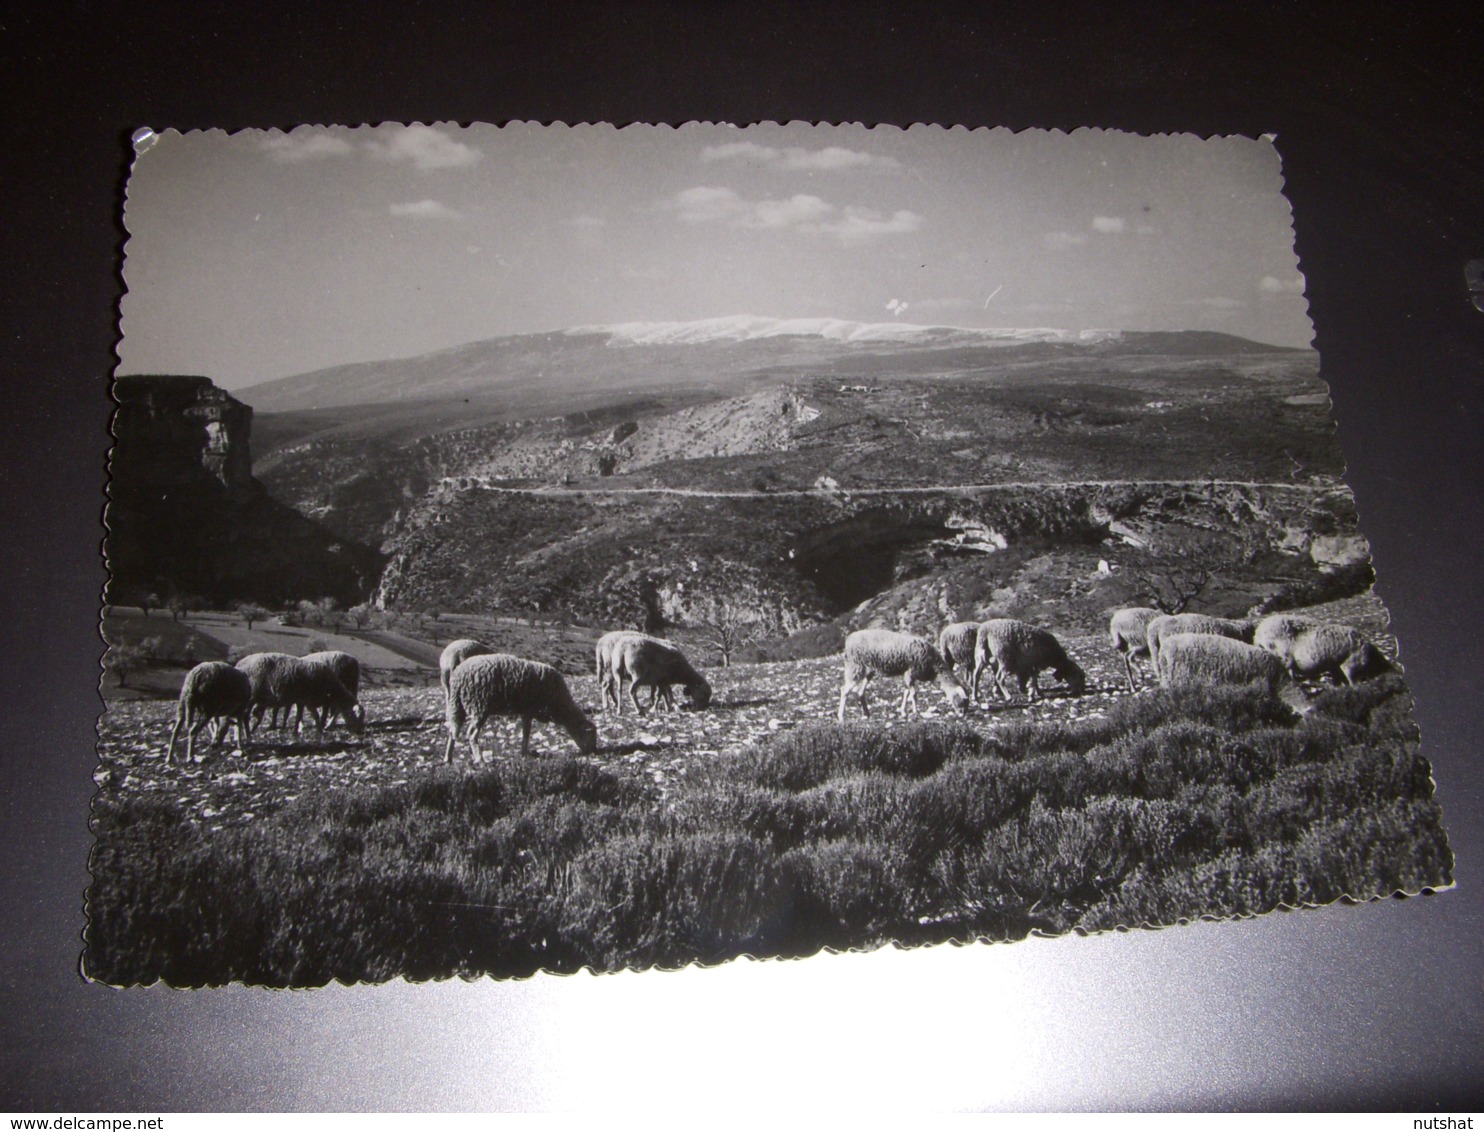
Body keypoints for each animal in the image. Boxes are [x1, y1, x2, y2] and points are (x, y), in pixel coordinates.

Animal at [442, 649, 599, 765]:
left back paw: (448, 759)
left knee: (452, 731)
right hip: (479, 706)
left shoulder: (525, 711)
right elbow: (527, 732)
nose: (593, 752)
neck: (560, 704)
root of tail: (458, 676)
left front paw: (524, 752)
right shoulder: (529, 710)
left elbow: (525, 732)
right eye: (590, 734)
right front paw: (525, 752)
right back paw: (479, 759)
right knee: (472, 734)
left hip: (457, 705)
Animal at [836, 623, 973, 721]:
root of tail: (848, 639)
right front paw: (916, 713)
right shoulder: (910, 672)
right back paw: (841, 716)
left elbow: (906, 692)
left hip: (869, 671)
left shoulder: (909, 675)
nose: (963, 716)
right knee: (844, 690)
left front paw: (904, 712)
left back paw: (866, 713)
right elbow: (913, 694)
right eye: (963, 701)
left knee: (860, 691)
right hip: (855, 666)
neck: (934, 664)